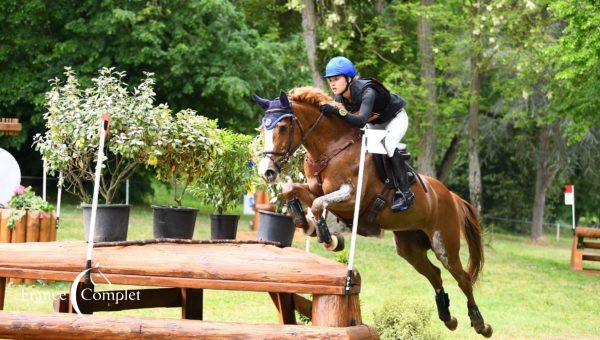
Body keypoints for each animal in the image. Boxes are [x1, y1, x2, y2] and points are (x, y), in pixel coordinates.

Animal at [253, 87, 492, 338]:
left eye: (282, 127)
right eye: (261, 129)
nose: (267, 172)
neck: (332, 148)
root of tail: (450, 196)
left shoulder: (351, 198)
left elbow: (318, 204)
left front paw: (329, 239)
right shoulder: (315, 190)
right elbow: (292, 190)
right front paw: (304, 222)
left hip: (444, 244)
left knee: (463, 278)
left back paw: (480, 324)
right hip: (410, 247)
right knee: (435, 273)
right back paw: (448, 318)